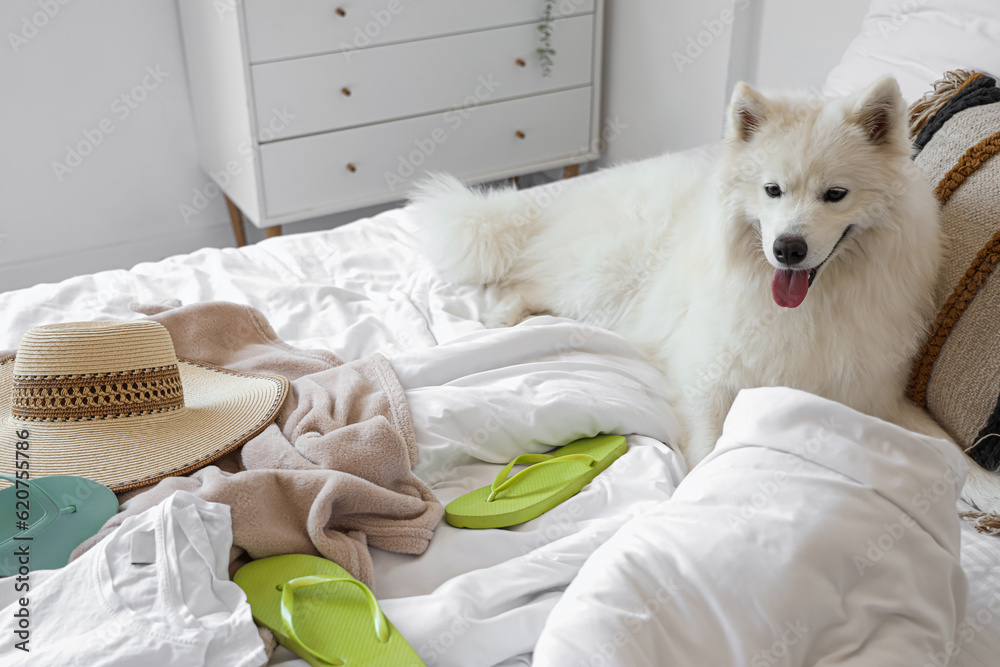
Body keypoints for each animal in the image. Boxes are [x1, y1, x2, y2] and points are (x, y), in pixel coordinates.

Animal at [408, 77, 1000, 512]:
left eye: (835, 195)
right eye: (772, 190)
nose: (787, 248)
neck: (812, 307)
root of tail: (560, 201)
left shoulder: (870, 391)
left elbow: (943, 444)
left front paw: (984, 485)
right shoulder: (709, 377)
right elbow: (711, 441)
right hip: (604, 281)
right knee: (526, 279)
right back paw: (501, 315)